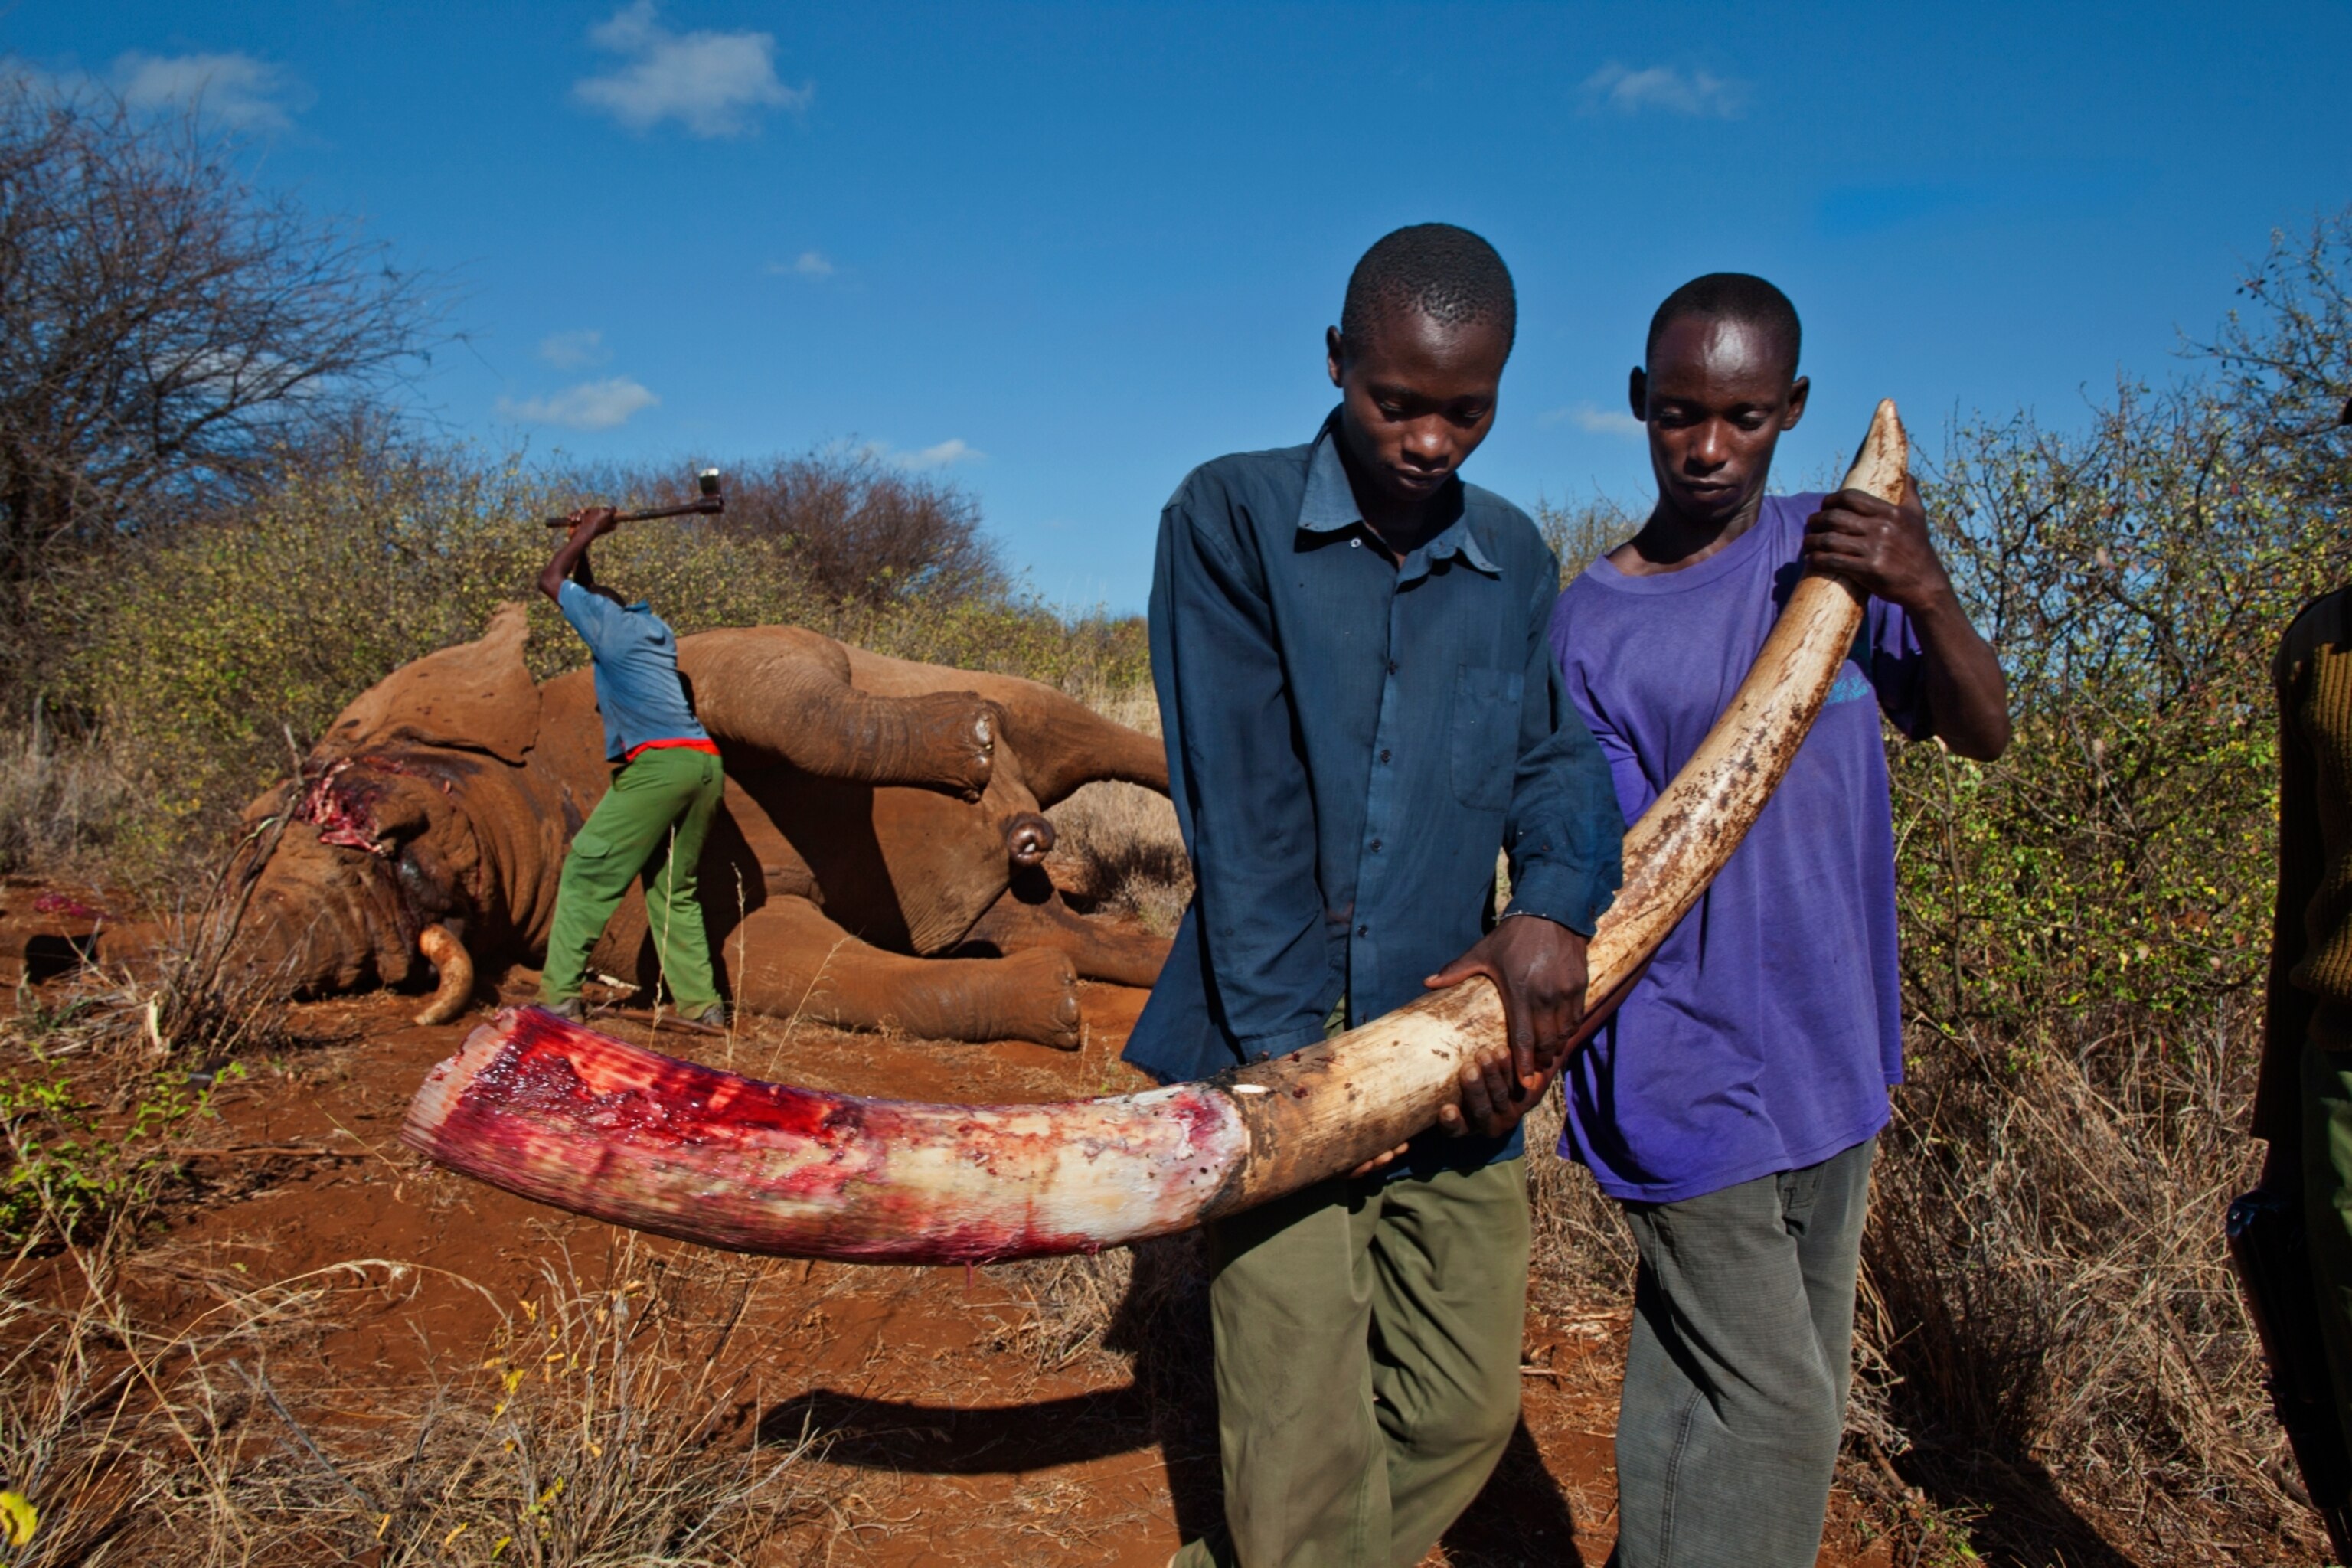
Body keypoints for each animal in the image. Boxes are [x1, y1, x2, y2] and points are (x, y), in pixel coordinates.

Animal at [226, 603, 1172, 1048]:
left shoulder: (681, 665)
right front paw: (1054, 1001)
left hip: (1033, 708)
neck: (542, 793)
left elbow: (770, 685)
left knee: (1076, 730)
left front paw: (974, 741)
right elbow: (773, 960)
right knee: (1047, 925)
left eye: (330, 802)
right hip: (1004, 904)